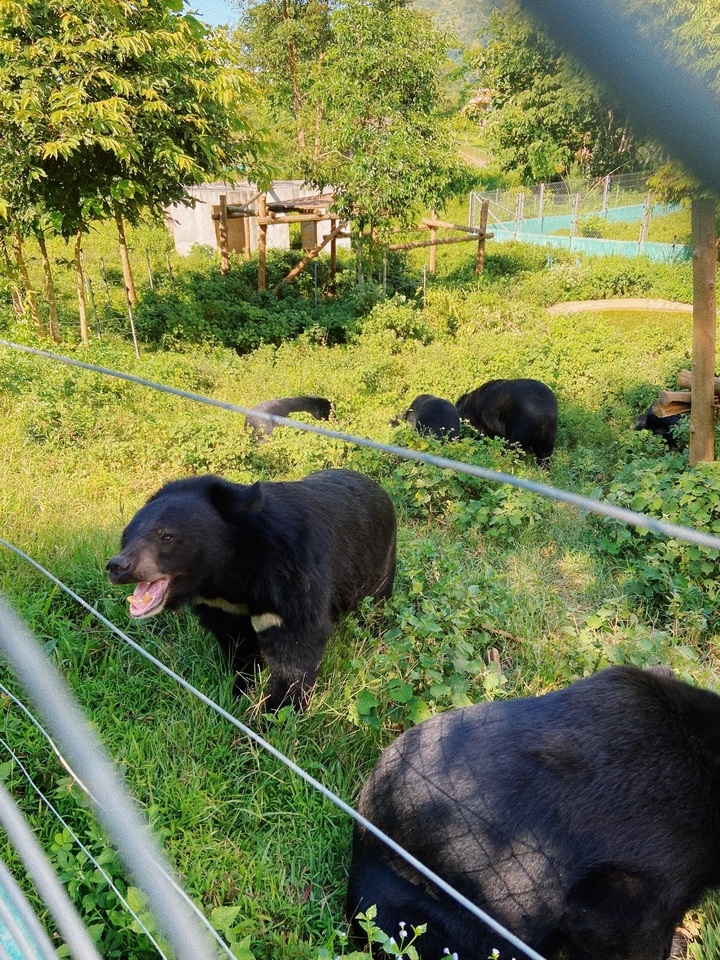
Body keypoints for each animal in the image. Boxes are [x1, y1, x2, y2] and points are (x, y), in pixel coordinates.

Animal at [106, 469, 397, 711]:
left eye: (166, 536)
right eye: (127, 536)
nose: (117, 567)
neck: (226, 573)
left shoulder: (292, 576)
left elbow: (296, 642)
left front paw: (276, 711)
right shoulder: (222, 607)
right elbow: (237, 643)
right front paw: (238, 688)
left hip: (378, 567)